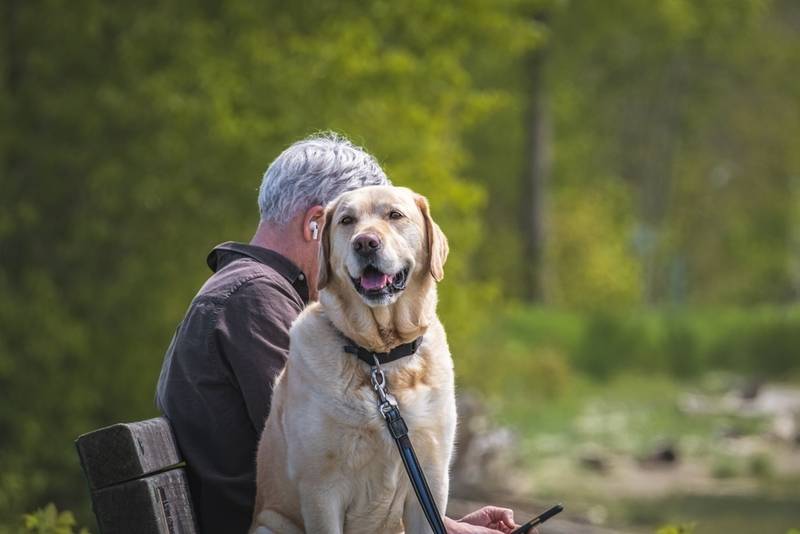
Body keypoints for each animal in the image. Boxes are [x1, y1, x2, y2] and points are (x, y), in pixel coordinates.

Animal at [253, 186, 460, 532]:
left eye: (395, 215)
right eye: (347, 220)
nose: (365, 243)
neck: (381, 358)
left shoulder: (431, 480)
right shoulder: (321, 491)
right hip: (269, 525)